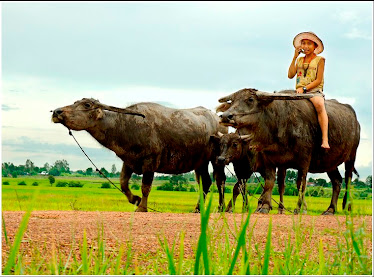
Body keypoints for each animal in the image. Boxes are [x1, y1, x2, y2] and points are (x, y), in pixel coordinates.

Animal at [51, 97, 228, 211]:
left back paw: (221, 207)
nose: (56, 112)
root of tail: (218, 120)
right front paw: (134, 200)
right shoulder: (128, 160)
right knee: (205, 182)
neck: (127, 126)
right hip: (200, 162)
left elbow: (145, 187)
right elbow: (123, 183)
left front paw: (142, 207)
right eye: (75, 102)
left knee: (220, 180)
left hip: (217, 159)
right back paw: (198, 208)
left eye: (87, 105)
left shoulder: (150, 162)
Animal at [219, 88, 360, 213]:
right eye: (232, 101)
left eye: (250, 99)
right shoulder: (267, 162)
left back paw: (348, 207)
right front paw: (264, 206)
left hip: (351, 156)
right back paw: (330, 209)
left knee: (348, 180)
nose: (225, 116)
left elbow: (300, 184)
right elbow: (268, 183)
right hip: (330, 162)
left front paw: (300, 208)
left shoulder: (304, 161)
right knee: (337, 181)